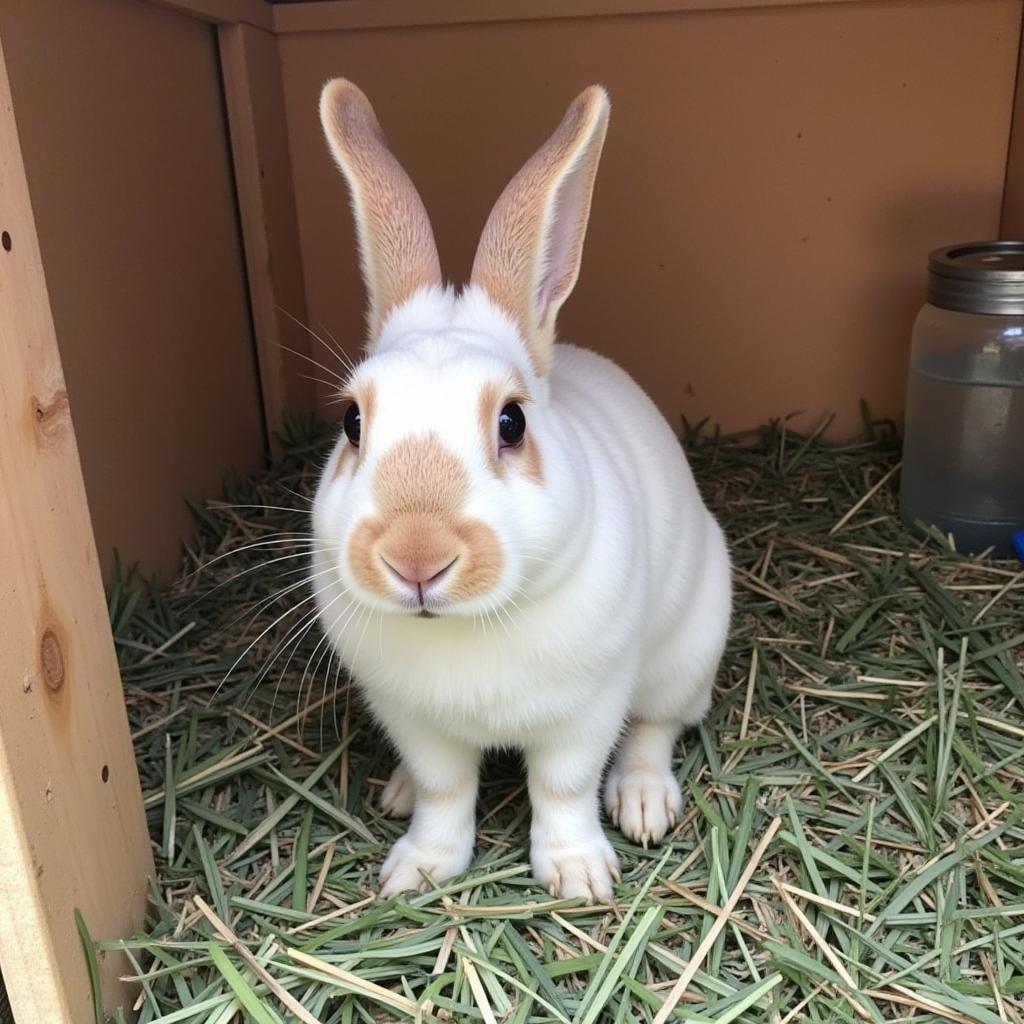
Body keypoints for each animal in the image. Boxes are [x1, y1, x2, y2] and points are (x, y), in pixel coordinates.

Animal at [307, 79, 733, 901]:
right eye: (351, 422)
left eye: (512, 422)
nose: (416, 557)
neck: (465, 628)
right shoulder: (415, 723)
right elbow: (444, 791)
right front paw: (417, 871)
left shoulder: (585, 711)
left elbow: (563, 789)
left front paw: (579, 876)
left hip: (685, 653)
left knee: (657, 728)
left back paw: (643, 803)